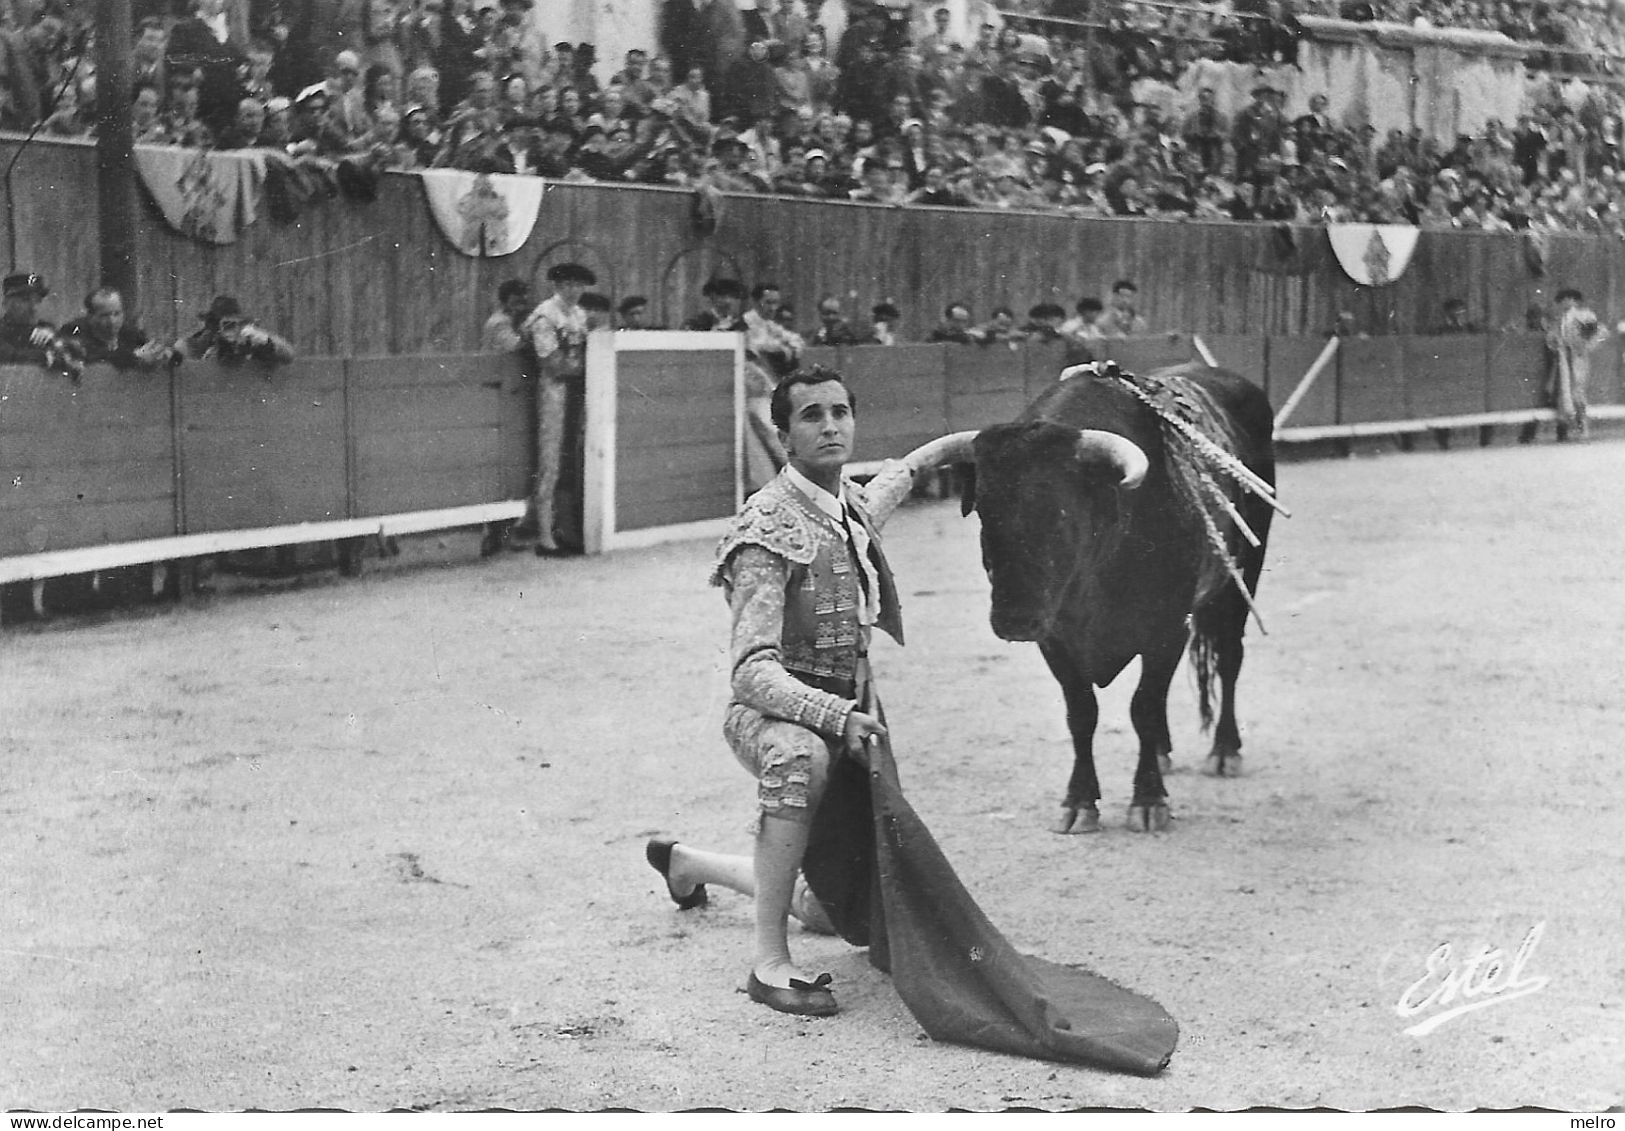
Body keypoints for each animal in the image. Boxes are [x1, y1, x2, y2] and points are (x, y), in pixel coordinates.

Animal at [936, 362, 1274, 832]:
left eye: (1062, 513)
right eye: (985, 511)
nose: (1014, 620)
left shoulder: (1166, 628)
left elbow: (1143, 706)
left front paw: (1148, 800)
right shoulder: (1054, 637)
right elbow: (1082, 712)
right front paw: (1080, 802)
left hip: (1242, 576)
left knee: (1229, 657)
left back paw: (1224, 751)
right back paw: (1165, 751)